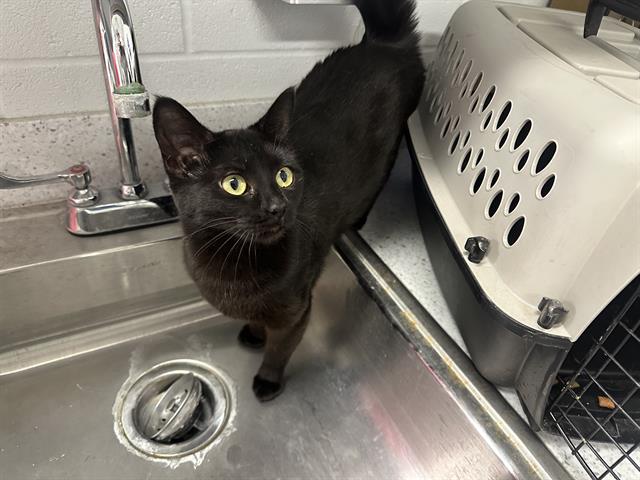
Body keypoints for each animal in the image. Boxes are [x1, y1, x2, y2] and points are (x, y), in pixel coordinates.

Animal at [153, 0, 425, 402]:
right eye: (234, 184)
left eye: (284, 176)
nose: (277, 207)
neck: (233, 263)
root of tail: (384, 43)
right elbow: (257, 322)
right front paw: (253, 332)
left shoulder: (297, 310)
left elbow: (280, 348)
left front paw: (268, 379)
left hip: (389, 150)